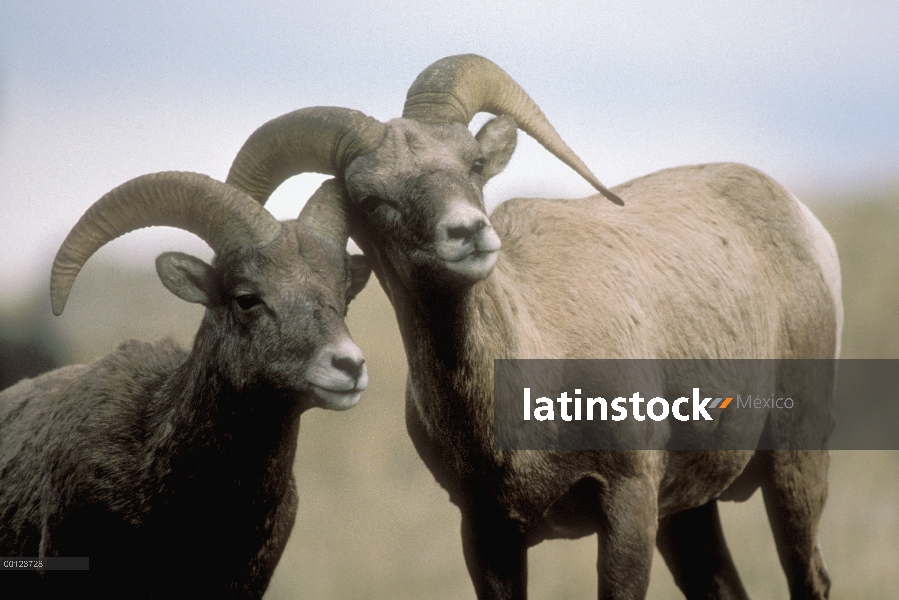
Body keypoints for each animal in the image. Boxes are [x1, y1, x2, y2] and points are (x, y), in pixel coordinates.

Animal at [225, 54, 844, 596]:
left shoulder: (629, 506)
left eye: (473, 164)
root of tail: (802, 221)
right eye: (372, 199)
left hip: (793, 467)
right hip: (691, 514)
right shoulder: (488, 533)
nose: (468, 232)